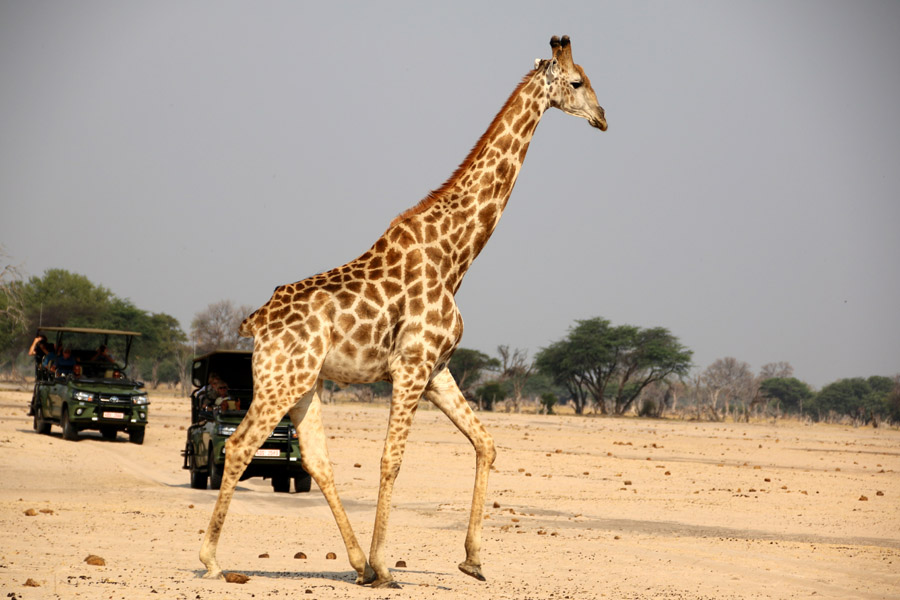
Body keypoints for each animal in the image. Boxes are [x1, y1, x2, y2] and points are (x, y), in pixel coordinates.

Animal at [200, 35, 608, 588]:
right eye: (577, 82)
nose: (603, 117)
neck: (455, 255)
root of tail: (256, 322)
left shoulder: (437, 369)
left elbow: (486, 443)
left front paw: (472, 560)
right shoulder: (411, 367)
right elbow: (390, 461)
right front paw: (386, 566)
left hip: (303, 384)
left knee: (317, 459)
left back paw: (353, 563)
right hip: (279, 381)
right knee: (240, 445)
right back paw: (213, 559)